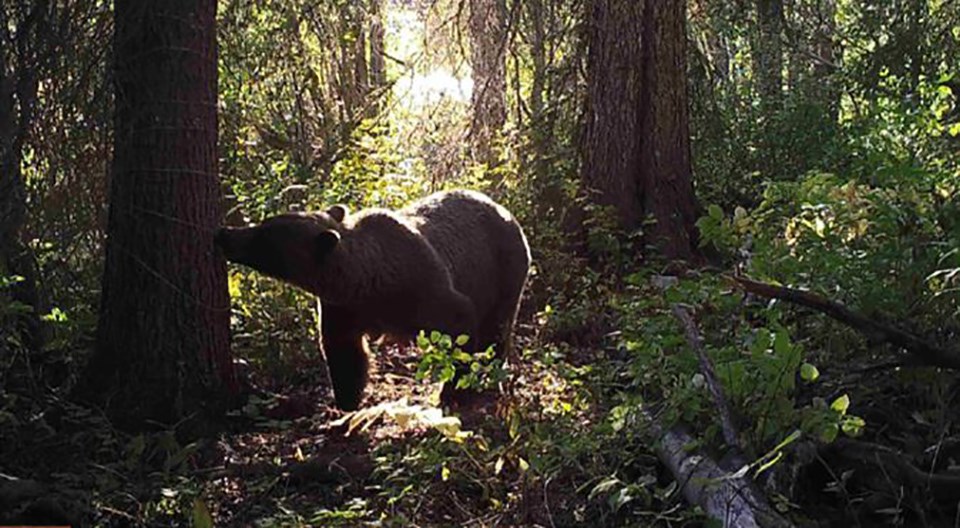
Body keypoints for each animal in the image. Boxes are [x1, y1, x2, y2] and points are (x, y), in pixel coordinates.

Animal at [216, 190, 532, 412]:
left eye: (264, 238)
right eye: (264, 225)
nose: (225, 234)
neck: (367, 284)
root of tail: (505, 209)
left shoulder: (424, 289)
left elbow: (459, 325)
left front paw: (454, 392)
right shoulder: (343, 308)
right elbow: (344, 351)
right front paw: (346, 399)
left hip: (504, 268)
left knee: (498, 327)